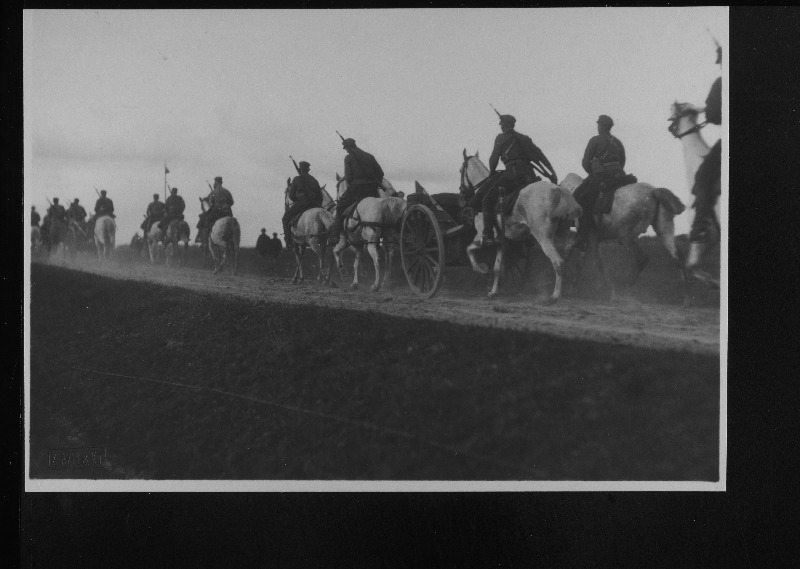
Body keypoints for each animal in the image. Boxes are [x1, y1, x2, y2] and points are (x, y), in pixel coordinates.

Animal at [456, 150, 580, 302]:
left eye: (461, 170)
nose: (461, 192)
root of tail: (559, 191)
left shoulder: (481, 237)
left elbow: (469, 250)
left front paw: (482, 269)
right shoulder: (501, 242)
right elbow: (497, 267)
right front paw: (493, 292)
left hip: (544, 237)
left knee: (558, 262)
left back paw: (555, 296)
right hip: (560, 234)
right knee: (567, 253)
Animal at [564, 171, 688, 300]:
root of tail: (654, 191)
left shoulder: (588, 236)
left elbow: (592, 262)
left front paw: (611, 293)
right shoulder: (593, 238)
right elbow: (578, 256)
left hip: (625, 235)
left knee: (642, 258)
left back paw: (625, 290)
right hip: (664, 230)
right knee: (677, 258)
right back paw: (686, 298)